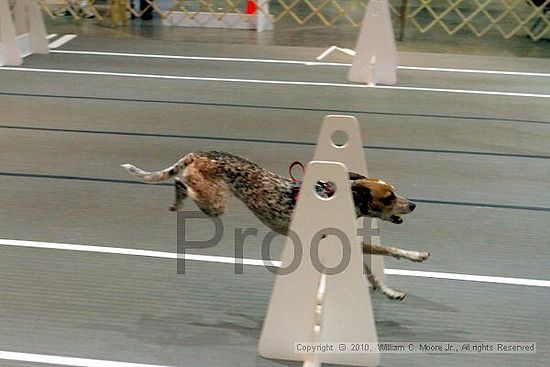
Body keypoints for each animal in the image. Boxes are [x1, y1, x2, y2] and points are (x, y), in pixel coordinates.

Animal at [124, 151, 432, 300]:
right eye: (389, 198)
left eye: (395, 192)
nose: (413, 205)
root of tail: (198, 153)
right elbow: (390, 250)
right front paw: (416, 255)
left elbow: (372, 273)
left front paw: (389, 291)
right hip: (214, 202)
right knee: (180, 181)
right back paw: (178, 195)